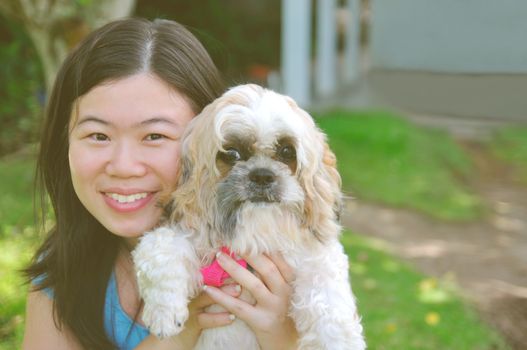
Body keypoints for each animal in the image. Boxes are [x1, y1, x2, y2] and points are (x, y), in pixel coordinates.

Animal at [132, 83, 368, 348]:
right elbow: (159, 249)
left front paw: (340, 340)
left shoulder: (316, 257)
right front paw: (164, 313)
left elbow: (329, 298)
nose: (262, 175)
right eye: (232, 154)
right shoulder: (182, 233)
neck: (256, 234)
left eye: (287, 151)